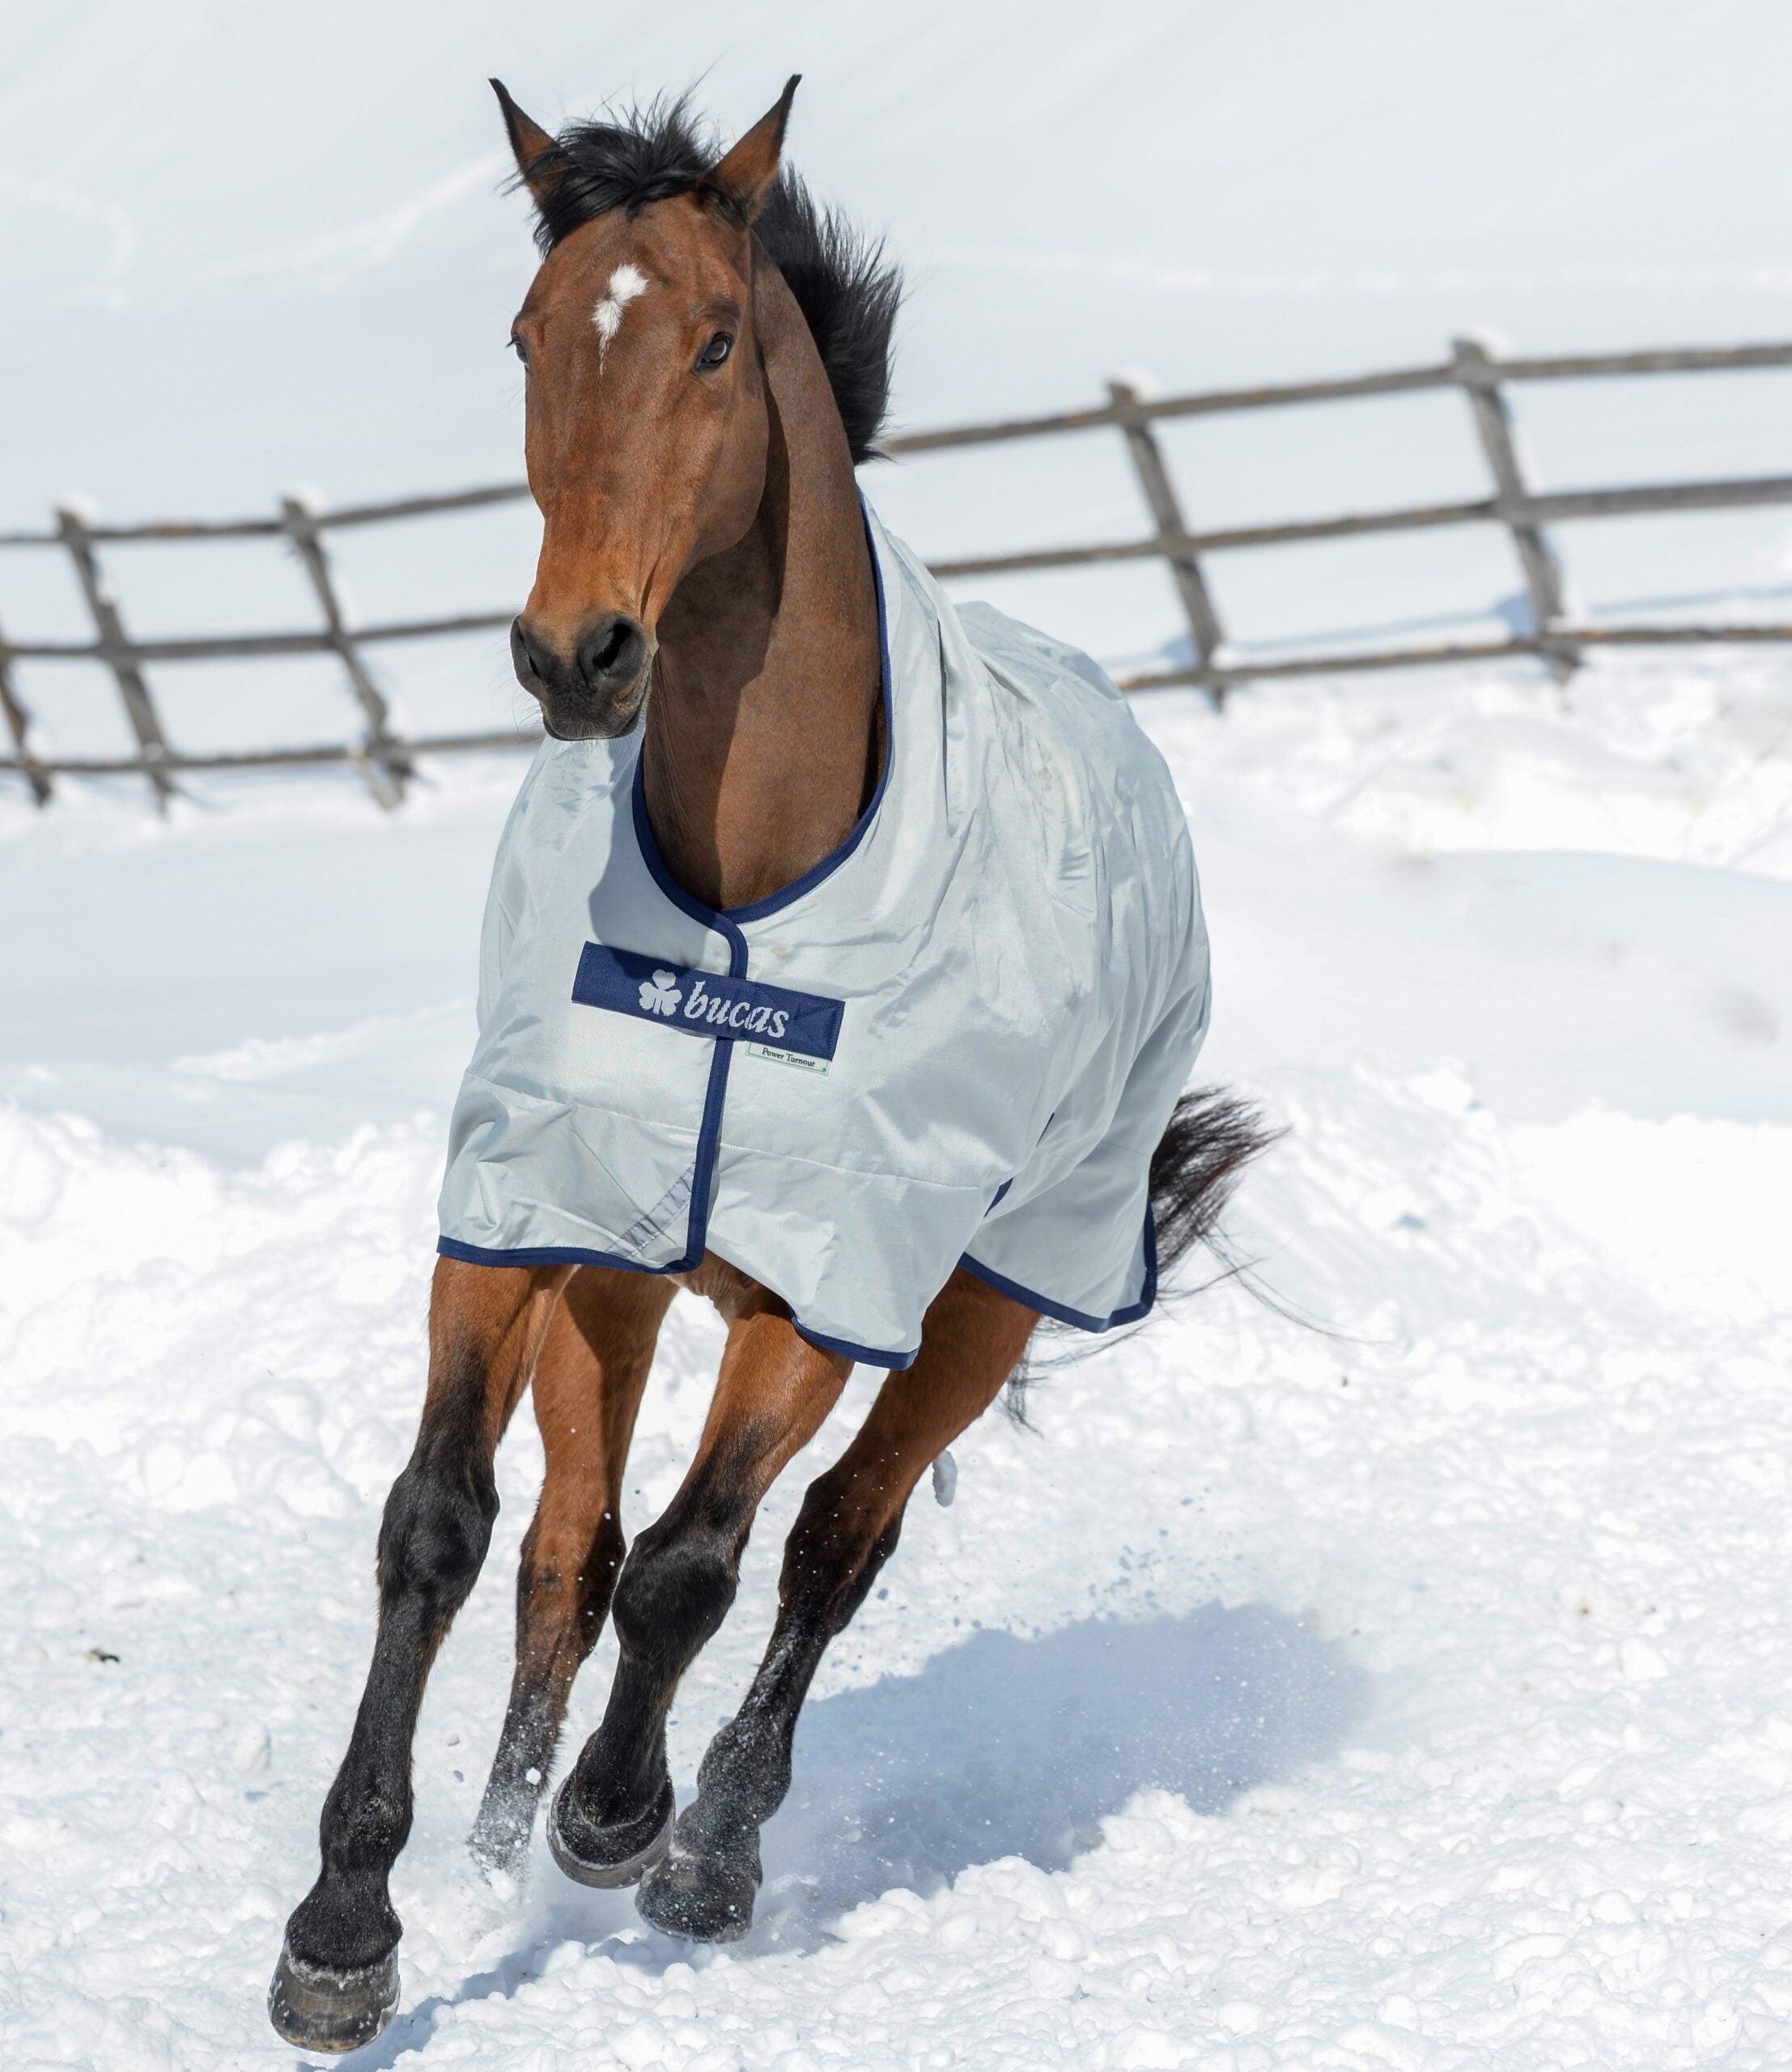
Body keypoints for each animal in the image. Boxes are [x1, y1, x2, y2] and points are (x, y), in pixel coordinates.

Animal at [268, 77, 1266, 2053]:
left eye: (718, 342)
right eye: (527, 338)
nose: (576, 655)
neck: (751, 891)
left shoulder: (836, 1270)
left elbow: (700, 1565)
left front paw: (617, 1819)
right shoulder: (521, 1211)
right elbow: (446, 1528)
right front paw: (351, 1924)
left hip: (990, 1298)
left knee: (829, 1546)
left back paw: (707, 1846)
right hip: (630, 1280)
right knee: (565, 1550)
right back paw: (498, 1837)